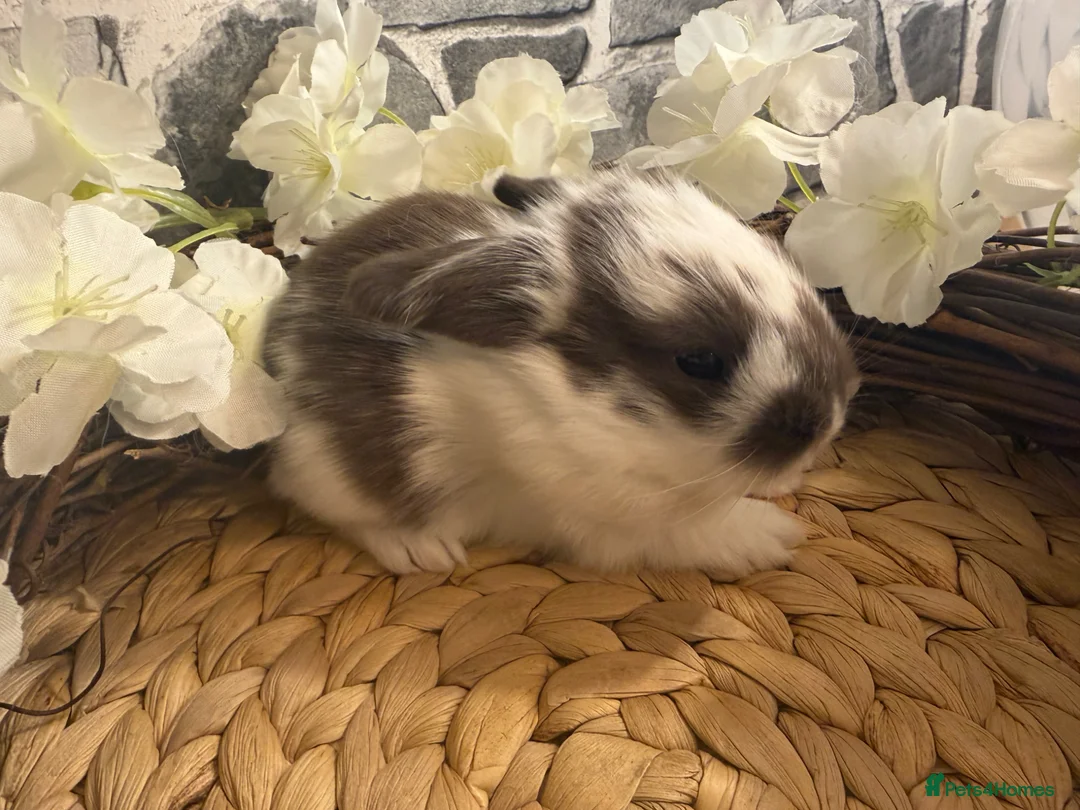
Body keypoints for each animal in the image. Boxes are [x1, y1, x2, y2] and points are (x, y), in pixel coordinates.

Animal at [261, 168, 860, 577]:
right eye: (699, 362)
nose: (826, 420)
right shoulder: (612, 523)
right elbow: (694, 533)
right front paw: (775, 535)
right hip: (325, 470)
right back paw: (419, 548)